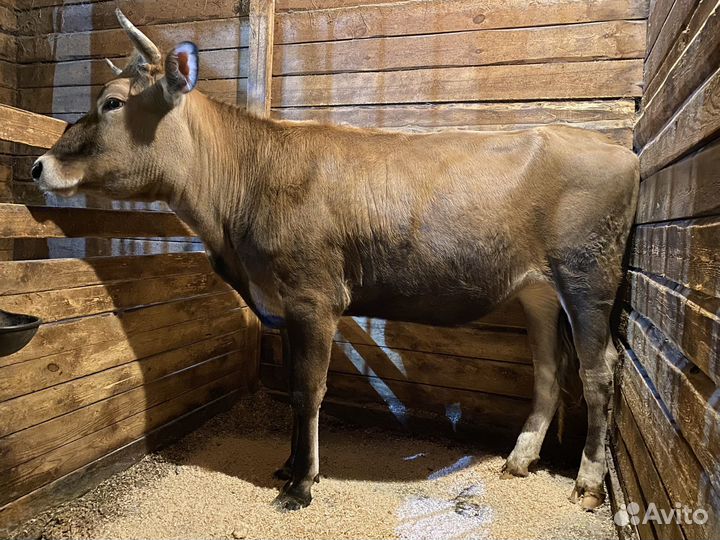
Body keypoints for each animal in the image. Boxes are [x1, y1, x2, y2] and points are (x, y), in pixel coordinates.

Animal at [31, 10, 639, 513]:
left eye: (112, 102)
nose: (38, 165)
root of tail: (618, 149)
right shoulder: (286, 304)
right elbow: (294, 389)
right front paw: (289, 467)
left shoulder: (312, 297)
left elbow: (307, 391)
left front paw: (300, 485)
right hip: (538, 291)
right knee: (548, 367)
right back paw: (519, 459)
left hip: (588, 278)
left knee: (598, 371)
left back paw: (587, 484)